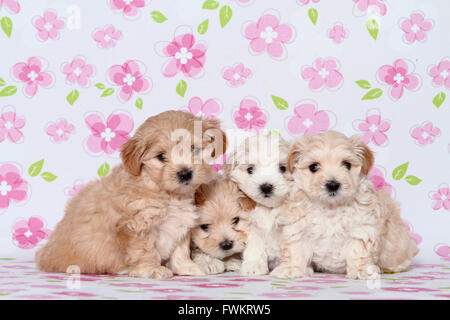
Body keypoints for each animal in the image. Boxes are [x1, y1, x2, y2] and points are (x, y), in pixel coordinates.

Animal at [35, 110, 227, 278]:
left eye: (195, 149)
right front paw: (152, 269)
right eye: (161, 156)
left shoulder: (181, 223)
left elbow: (181, 251)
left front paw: (189, 267)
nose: (185, 173)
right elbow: (145, 250)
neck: (167, 193)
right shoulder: (138, 225)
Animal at [224, 134, 294, 276]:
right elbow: (254, 246)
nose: (266, 187)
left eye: (282, 168)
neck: (268, 208)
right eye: (250, 169)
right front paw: (253, 266)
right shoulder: (251, 226)